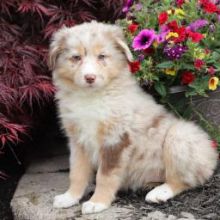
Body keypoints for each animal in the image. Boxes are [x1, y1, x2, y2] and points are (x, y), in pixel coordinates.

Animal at [47, 21, 217, 214]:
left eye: (102, 56)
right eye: (76, 57)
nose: (90, 77)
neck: (92, 97)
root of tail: (212, 155)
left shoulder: (116, 140)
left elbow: (105, 176)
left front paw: (97, 202)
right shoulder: (77, 141)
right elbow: (77, 172)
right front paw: (70, 197)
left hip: (181, 136)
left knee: (182, 180)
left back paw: (159, 193)